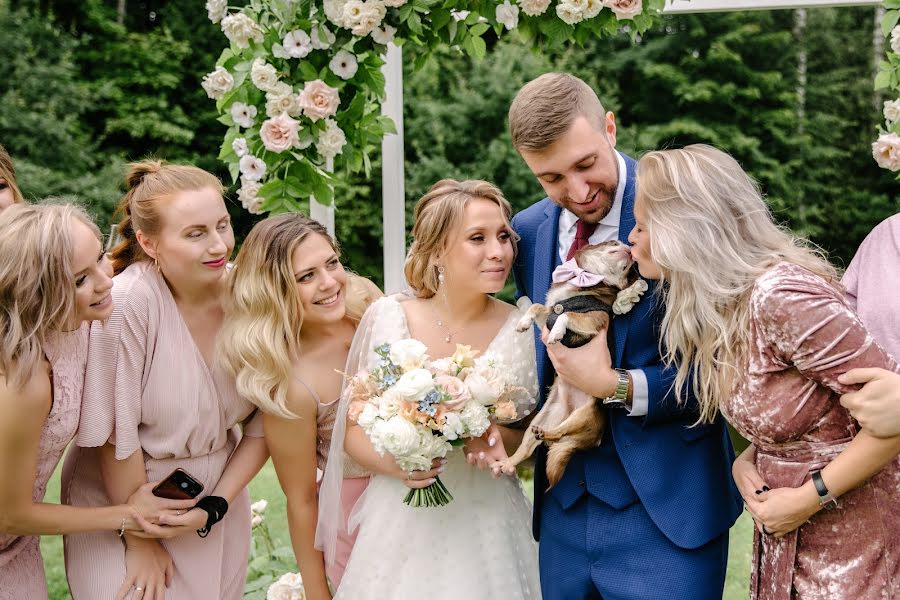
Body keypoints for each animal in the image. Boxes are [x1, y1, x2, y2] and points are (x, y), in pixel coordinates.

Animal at [496, 240, 644, 488]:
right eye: (614, 243)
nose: (629, 248)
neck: (584, 282)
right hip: (543, 419)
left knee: (559, 436)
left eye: (629, 269)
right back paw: (509, 462)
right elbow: (537, 307)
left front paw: (557, 332)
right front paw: (524, 322)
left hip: (580, 418)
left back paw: (547, 436)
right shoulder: (548, 314)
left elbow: (567, 316)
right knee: (527, 447)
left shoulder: (594, 319)